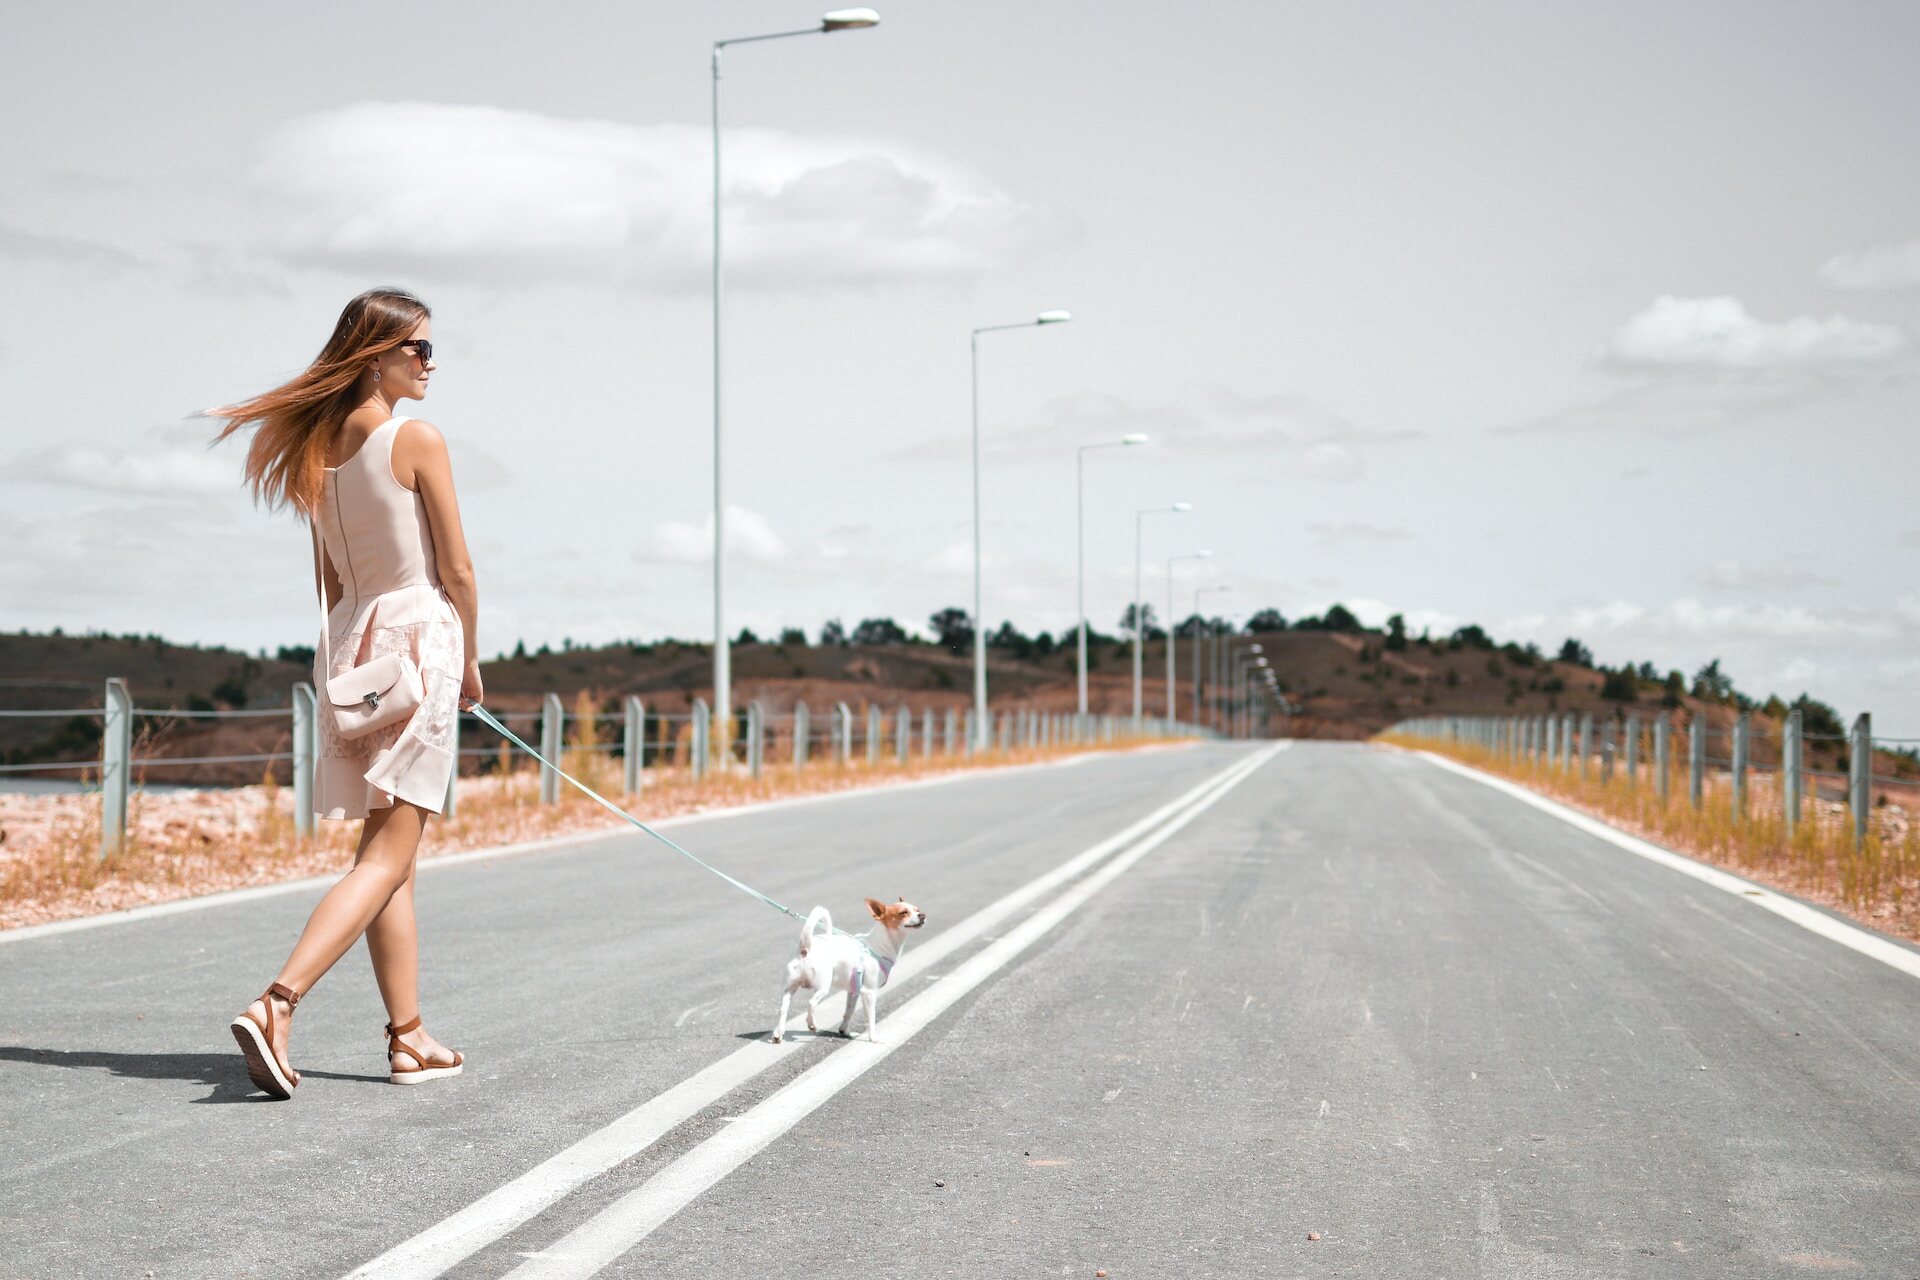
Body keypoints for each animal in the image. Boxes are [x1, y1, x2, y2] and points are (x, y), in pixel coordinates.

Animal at [775, 898, 933, 1043]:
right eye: (903, 913)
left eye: (917, 909)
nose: (922, 915)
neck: (878, 946)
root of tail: (805, 948)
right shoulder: (869, 992)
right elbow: (871, 1019)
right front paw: (873, 1038)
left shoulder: (854, 992)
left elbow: (848, 1013)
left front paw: (845, 1032)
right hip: (823, 986)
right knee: (811, 1003)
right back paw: (812, 1025)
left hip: (789, 989)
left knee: (783, 1009)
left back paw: (778, 1034)